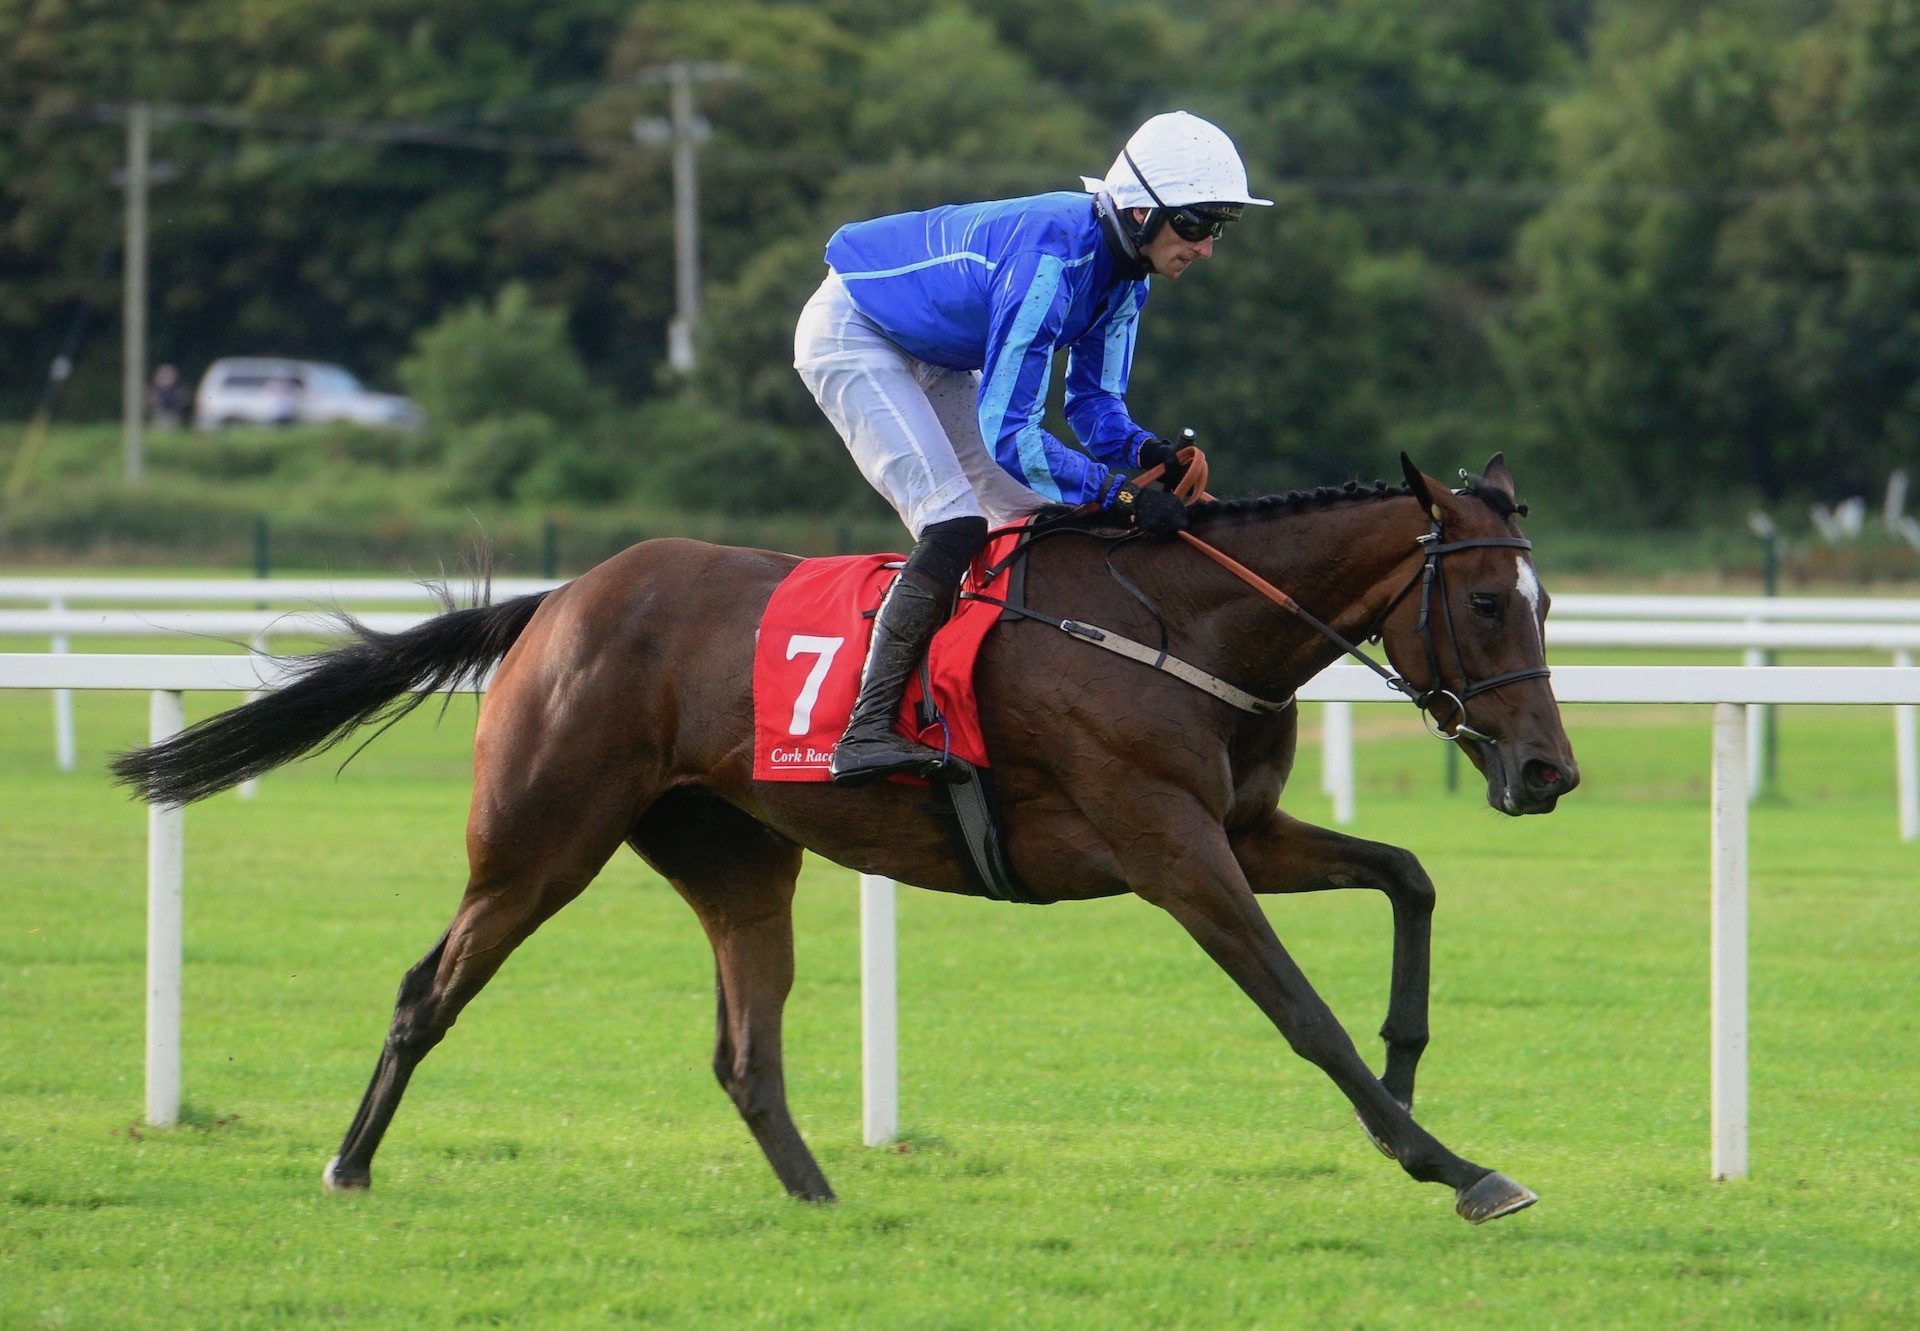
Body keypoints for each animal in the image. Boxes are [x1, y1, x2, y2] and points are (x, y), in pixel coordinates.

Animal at [112, 451, 1574, 1221]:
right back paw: (349, 1161)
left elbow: (1408, 876)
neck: (1181, 626)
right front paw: (1452, 1162)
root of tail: (558, 599)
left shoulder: (1240, 826)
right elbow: (1299, 1009)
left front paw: (1413, 1060)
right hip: (540, 840)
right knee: (431, 986)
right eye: (1488, 603)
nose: (1550, 770)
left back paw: (819, 1199)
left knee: (743, 1047)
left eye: (1546, 601)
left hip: (738, 854)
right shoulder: (1169, 847)